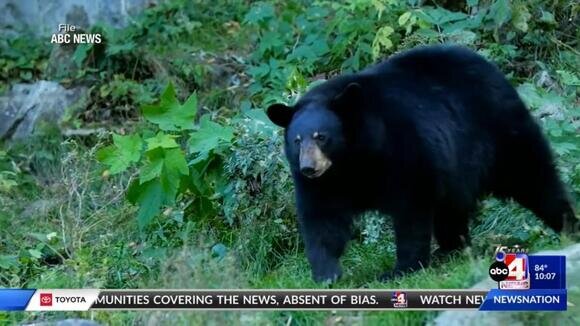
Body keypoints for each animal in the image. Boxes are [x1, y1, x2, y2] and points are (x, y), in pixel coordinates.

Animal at [266, 44, 576, 282]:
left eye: (322, 137)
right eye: (297, 140)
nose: (309, 167)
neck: (352, 160)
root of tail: (491, 68)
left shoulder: (400, 150)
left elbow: (410, 209)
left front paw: (401, 269)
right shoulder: (325, 184)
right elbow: (322, 219)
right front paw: (327, 274)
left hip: (501, 134)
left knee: (534, 177)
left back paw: (567, 226)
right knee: (452, 207)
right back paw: (453, 248)